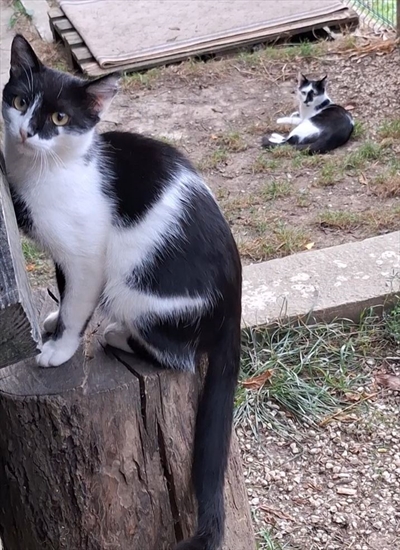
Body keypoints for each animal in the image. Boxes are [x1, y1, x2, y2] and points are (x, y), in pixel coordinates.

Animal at [2, 34, 242, 550]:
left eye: (60, 118)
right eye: (20, 101)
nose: (28, 132)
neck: (47, 168)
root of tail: (234, 304)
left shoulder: (88, 253)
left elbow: (79, 301)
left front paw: (61, 348)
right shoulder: (64, 253)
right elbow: (64, 289)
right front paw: (51, 322)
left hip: (136, 288)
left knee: (177, 355)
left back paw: (117, 335)